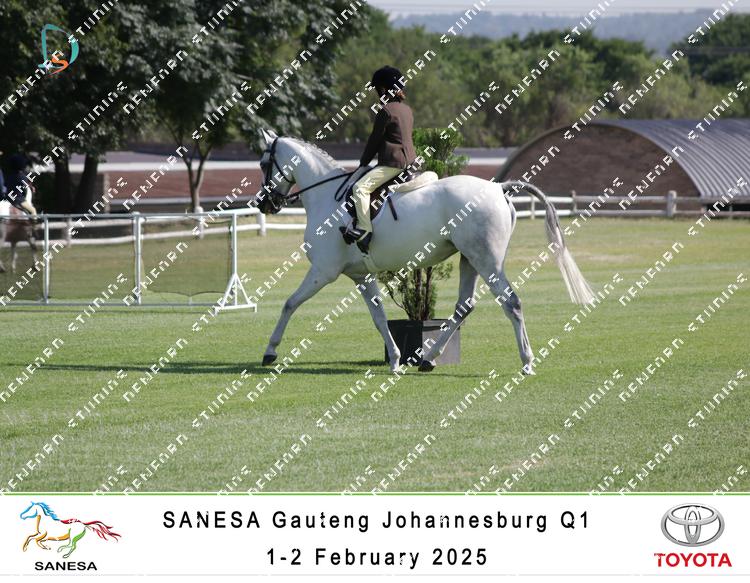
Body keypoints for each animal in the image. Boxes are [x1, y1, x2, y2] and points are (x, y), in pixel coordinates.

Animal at [254, 130, 595, 374]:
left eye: (263, 164)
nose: (264, 204)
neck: (327, 197)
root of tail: (498, 188)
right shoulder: (361, 276)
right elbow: (379, 317)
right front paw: (394, 360)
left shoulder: (323, 271)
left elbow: (289, 304)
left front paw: (270, 351)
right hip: (470, 260)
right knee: (464, 307)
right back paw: (428, 359)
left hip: (487, 261)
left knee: (511, 303)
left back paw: (526, 362)